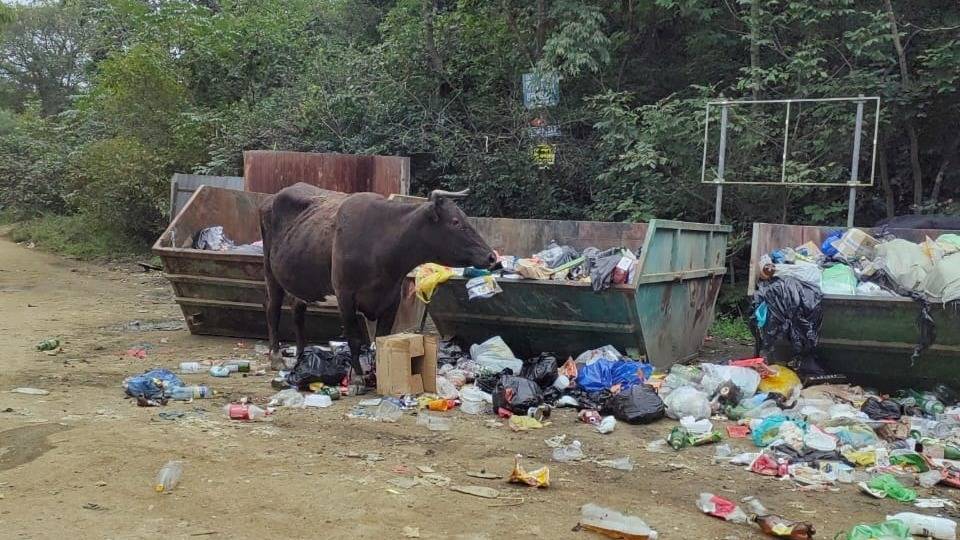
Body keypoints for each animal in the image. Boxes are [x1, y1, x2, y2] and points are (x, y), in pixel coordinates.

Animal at [260, 182, 496, 388]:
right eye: (456, 222)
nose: (492, 256)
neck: (381, 243)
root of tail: (273, 197)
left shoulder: (392, 299)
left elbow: (381, 339)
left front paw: (378, 376)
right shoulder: (345, 296)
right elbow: (355, 339)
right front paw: (357, 378)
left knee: (297, 313)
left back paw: (301, 355)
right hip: (270, 272)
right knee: (272, 310)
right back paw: (276, 357)